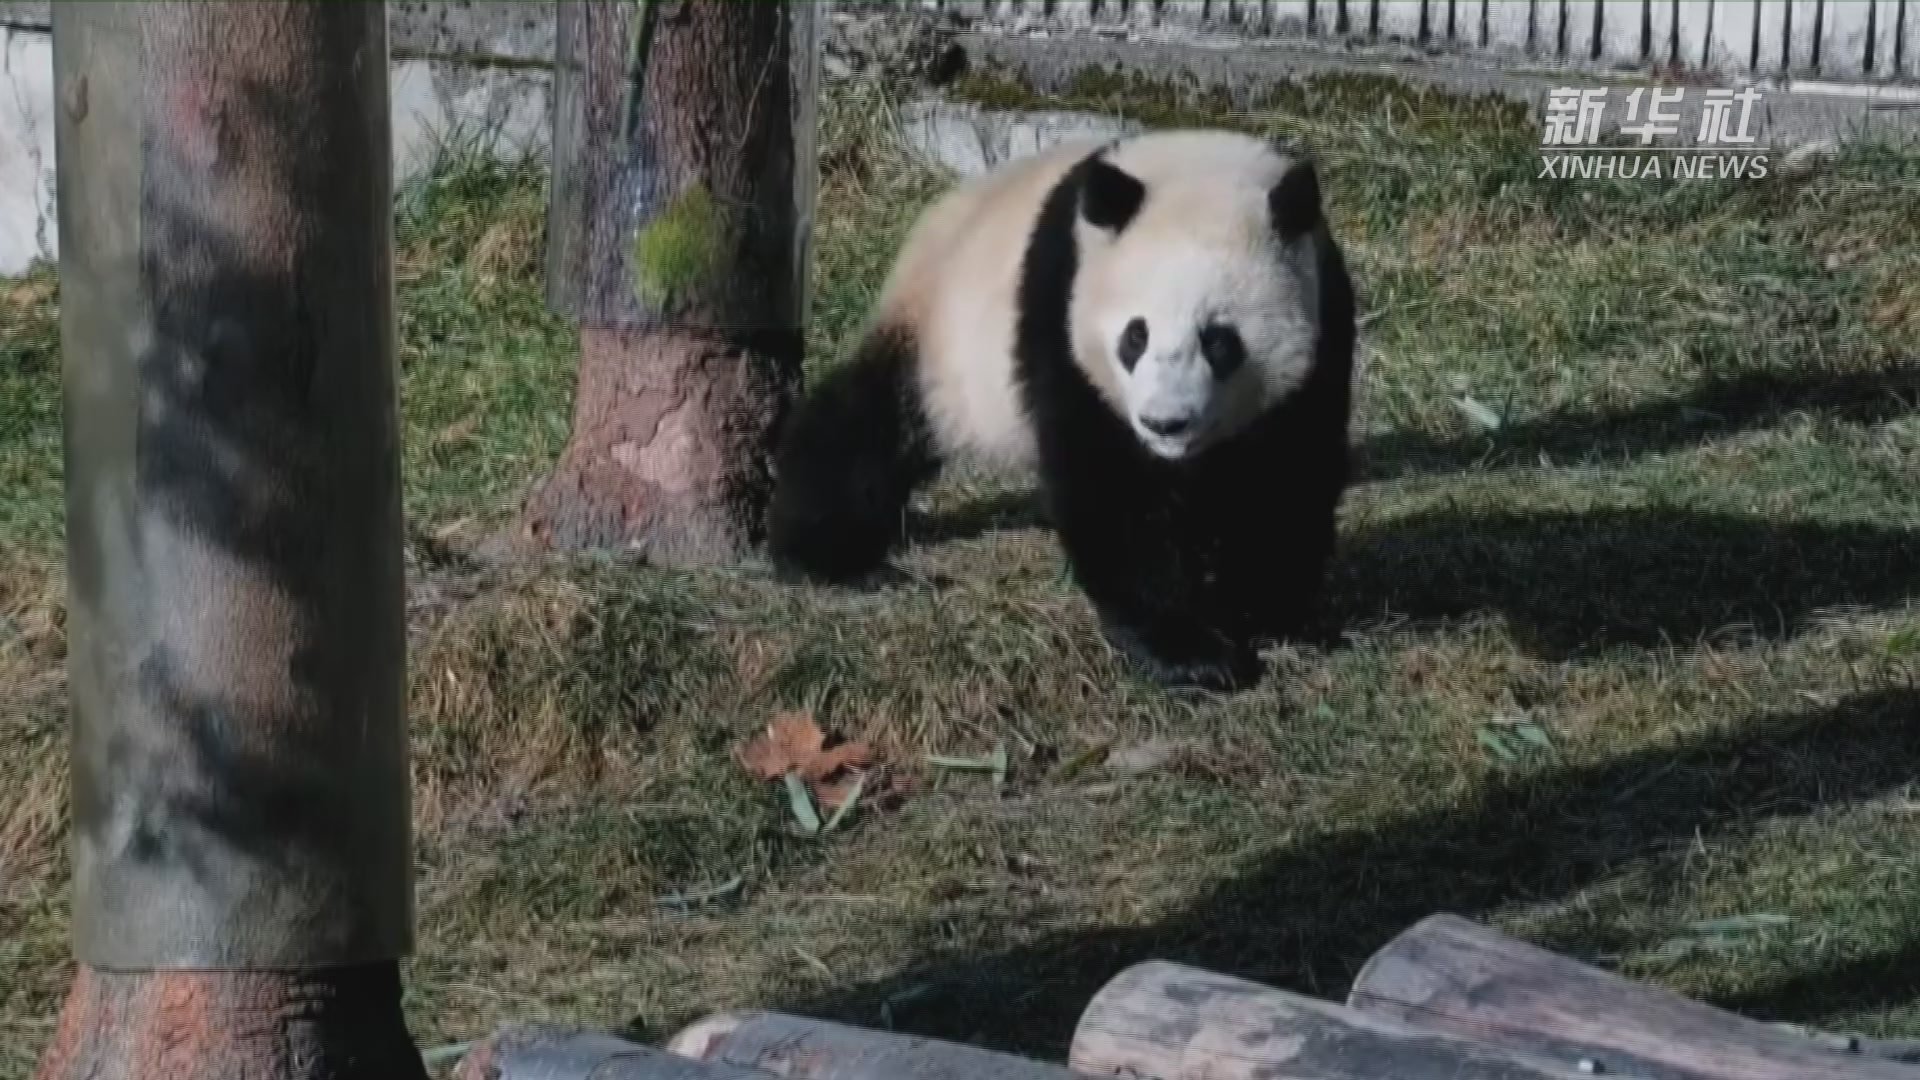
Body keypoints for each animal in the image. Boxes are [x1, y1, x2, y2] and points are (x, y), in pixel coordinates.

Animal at [760, 127, 1351, 687]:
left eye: (1219, 341)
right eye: (1135, 336)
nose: (1164, 423)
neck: (1194, 164)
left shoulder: (1325, 317)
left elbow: (1288, 470)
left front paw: (1265, 608)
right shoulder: (1062, 309)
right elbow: (1111, 486)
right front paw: (1192, 652)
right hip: (943, 336)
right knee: (866, 427)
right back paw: (830, 556)